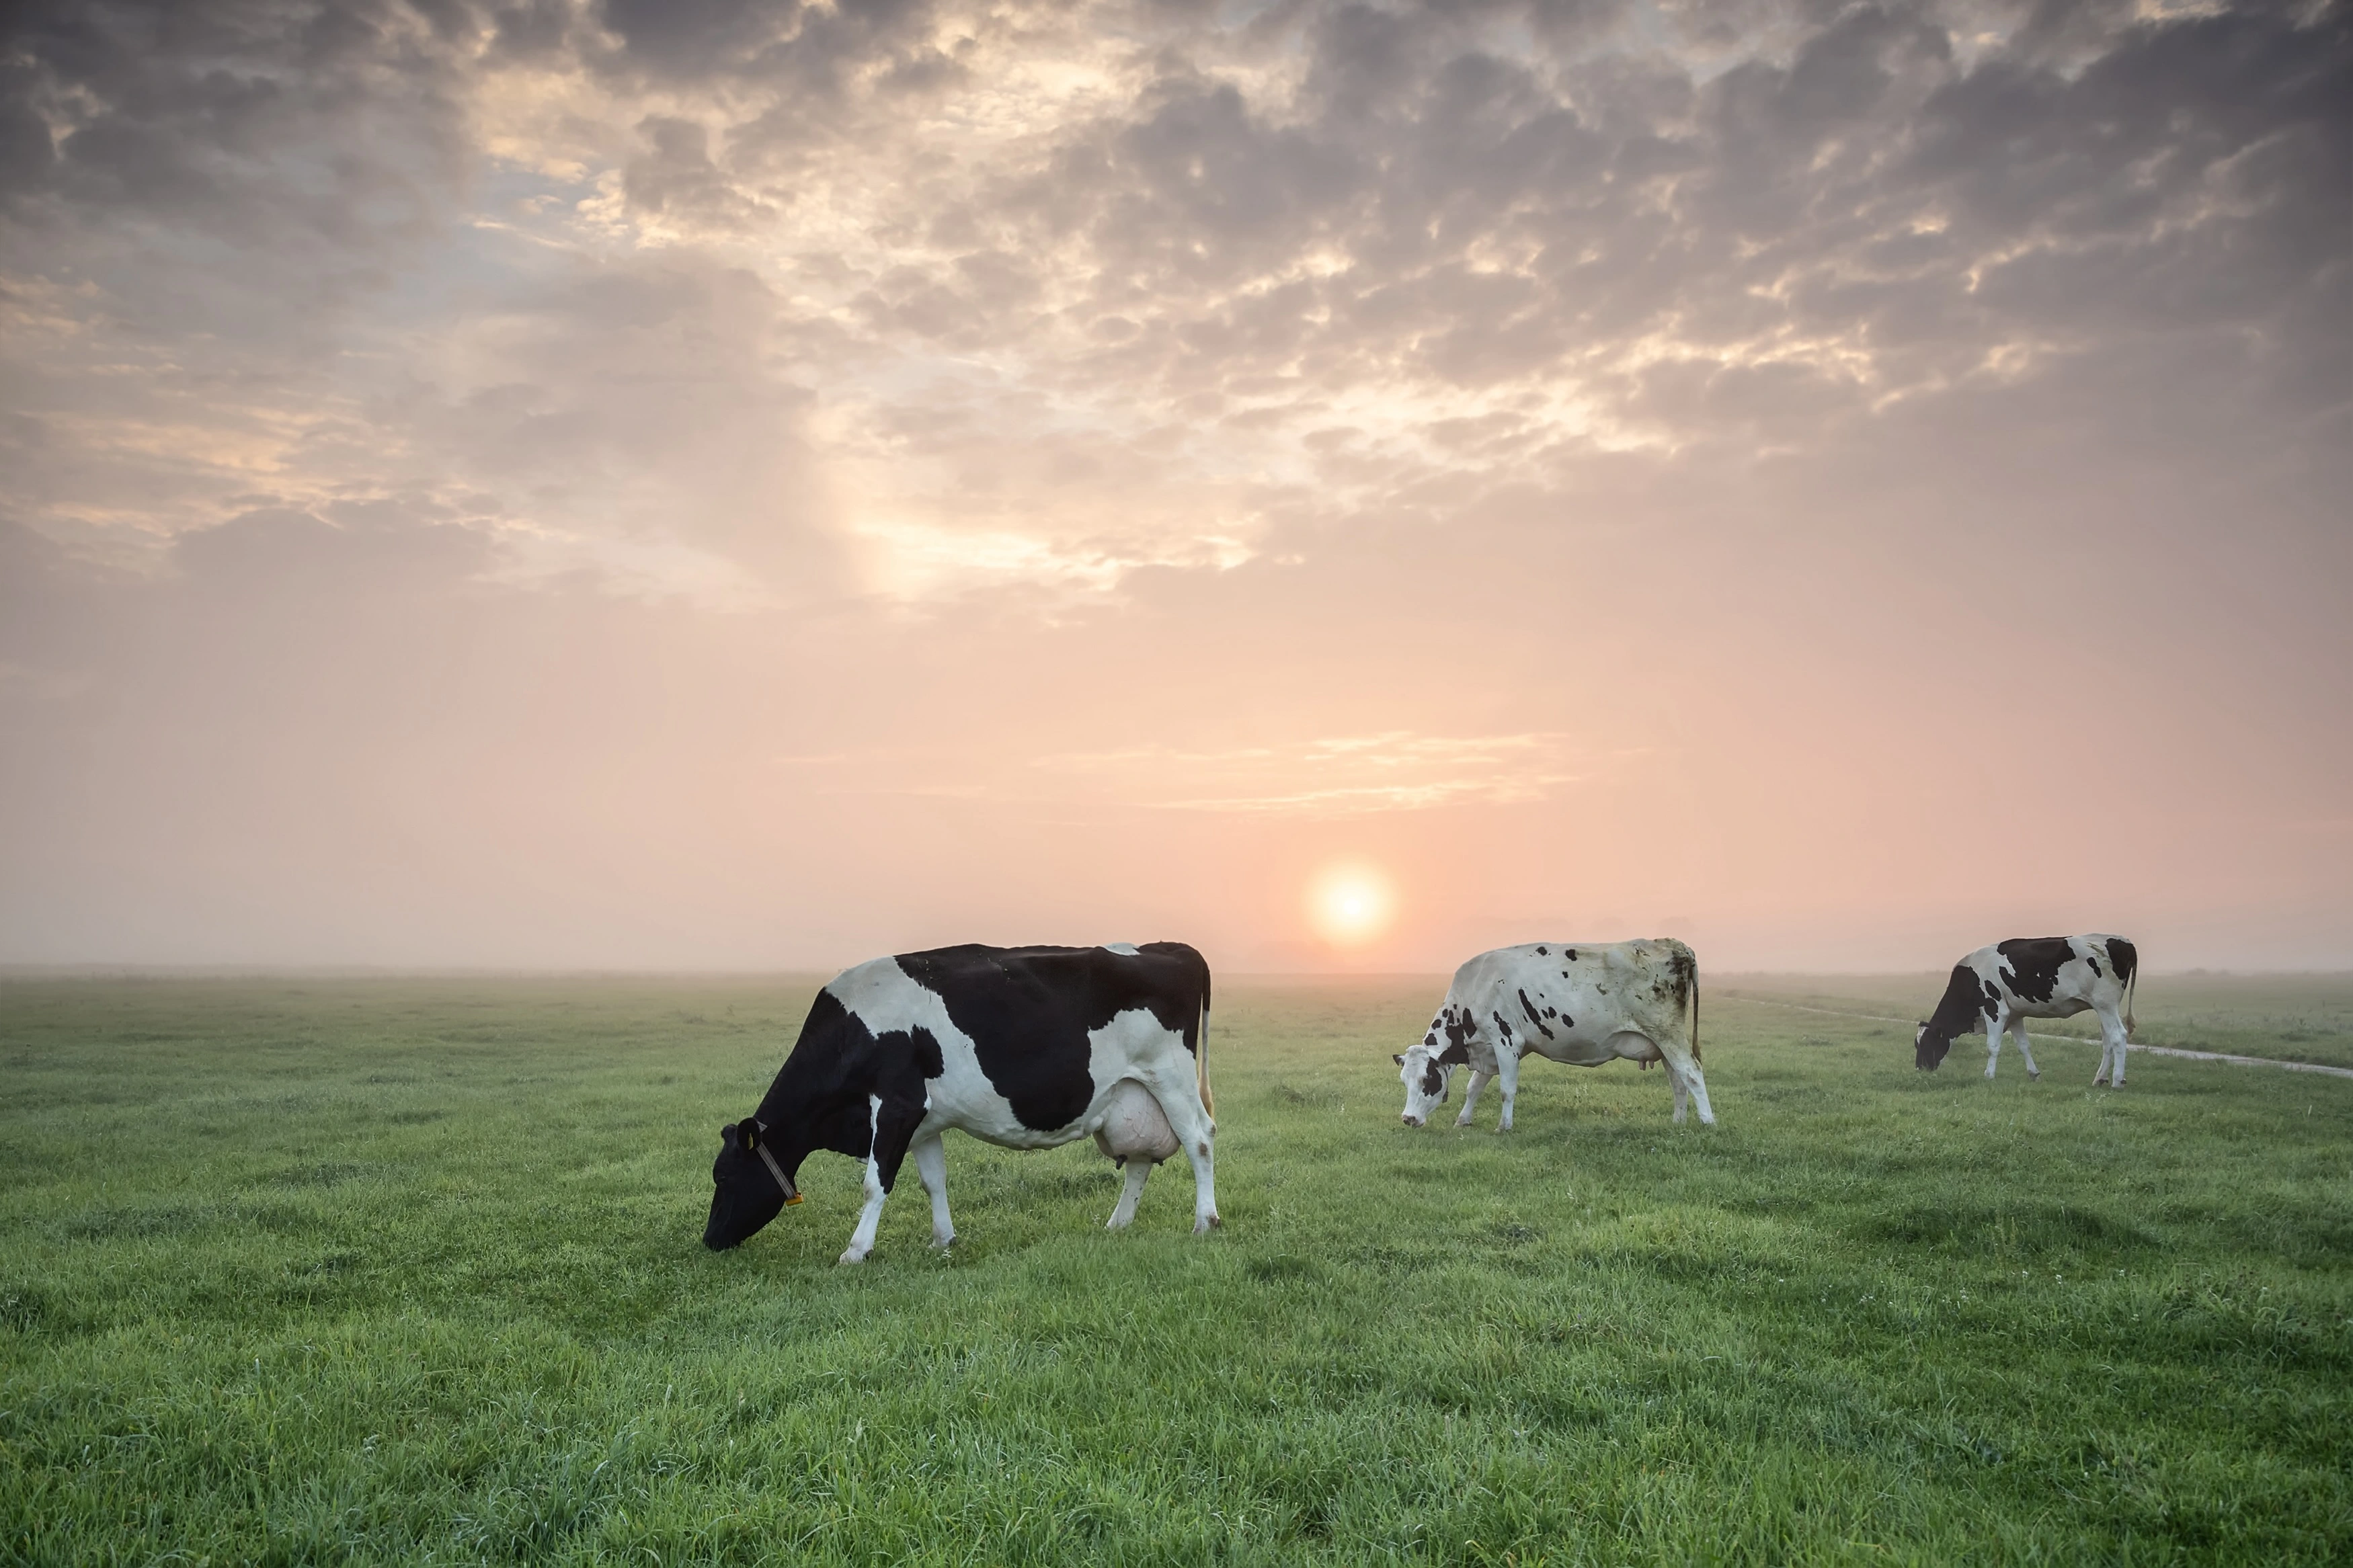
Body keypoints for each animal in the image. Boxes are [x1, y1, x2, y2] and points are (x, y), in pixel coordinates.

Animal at [692, 945, 1214, 1260]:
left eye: (724, 1176)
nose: (710, 1240)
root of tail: (1172, 948)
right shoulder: (924, 1120)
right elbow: (933, 1182)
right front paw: (943, 1240)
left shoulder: (897, 1104)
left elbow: (875, 1183)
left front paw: (856, 1250)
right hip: (1131, 1094)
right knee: (1141, 1160)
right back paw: (1118, 1224)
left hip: (1170, 1075)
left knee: (1200, 1140)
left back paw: (1205, 1221)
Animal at [1393, 940, 1713, 1132]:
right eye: (1405, 1081)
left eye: (1428, 1080)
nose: (1408, 1118)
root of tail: (1675, 945)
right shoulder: (1487, 1049)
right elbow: (1474, 1088)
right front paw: (1463, 1120)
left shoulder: (1506, 1041)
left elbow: (1506, 1090)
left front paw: (1504, 1126)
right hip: (1662, 1040)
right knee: (1678, 1081)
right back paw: (1678, 1123)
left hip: (1667, 1032)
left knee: (1692, 1073)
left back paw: (1708, 1122)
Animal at [1920, 940, 2146, 1085]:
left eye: (1925, 1043)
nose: (1919, 1069)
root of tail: (2123, 941)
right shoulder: (2014, 1014)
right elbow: (2023, 1046)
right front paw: (2033, 1074)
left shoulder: (1996, 1009)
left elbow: (1992, 1047)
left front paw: (1989, 1075)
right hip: (2103, 1007)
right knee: (2108, 1041)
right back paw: (2099, 1078)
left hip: (2105, 1004)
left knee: (2118, 1036)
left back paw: (2117, 1080)